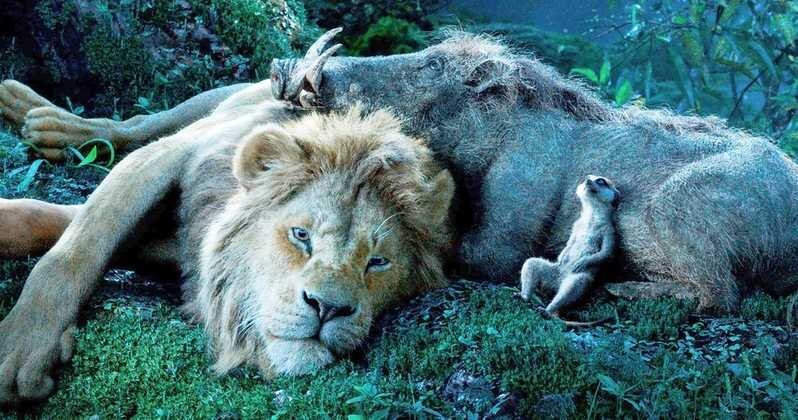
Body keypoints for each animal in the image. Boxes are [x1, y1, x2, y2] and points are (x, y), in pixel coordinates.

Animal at [0, 83, 455, 403]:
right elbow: (78, 245)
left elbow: (63, 223)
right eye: (301, 235)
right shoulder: (168, 156)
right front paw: (20, 349)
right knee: (138, 124)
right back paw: (43, 119)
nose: (328, 308)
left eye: (378, 262)